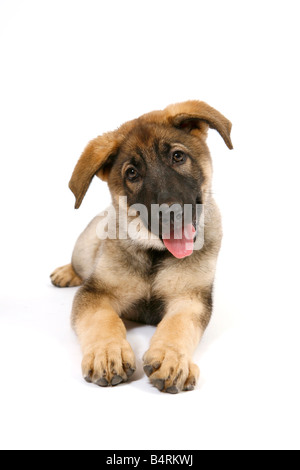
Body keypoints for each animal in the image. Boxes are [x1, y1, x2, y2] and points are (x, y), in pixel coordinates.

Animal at [51, 102, 232, 392]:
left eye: (178, 156)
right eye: (132, 173)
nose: (170, 213)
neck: (154, 253)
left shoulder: (190, 297)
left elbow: (178, 325)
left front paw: (172, 357)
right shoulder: (96, 293)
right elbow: (102, 320)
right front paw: (107, 352)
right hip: (84, 246)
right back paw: (67, 272)